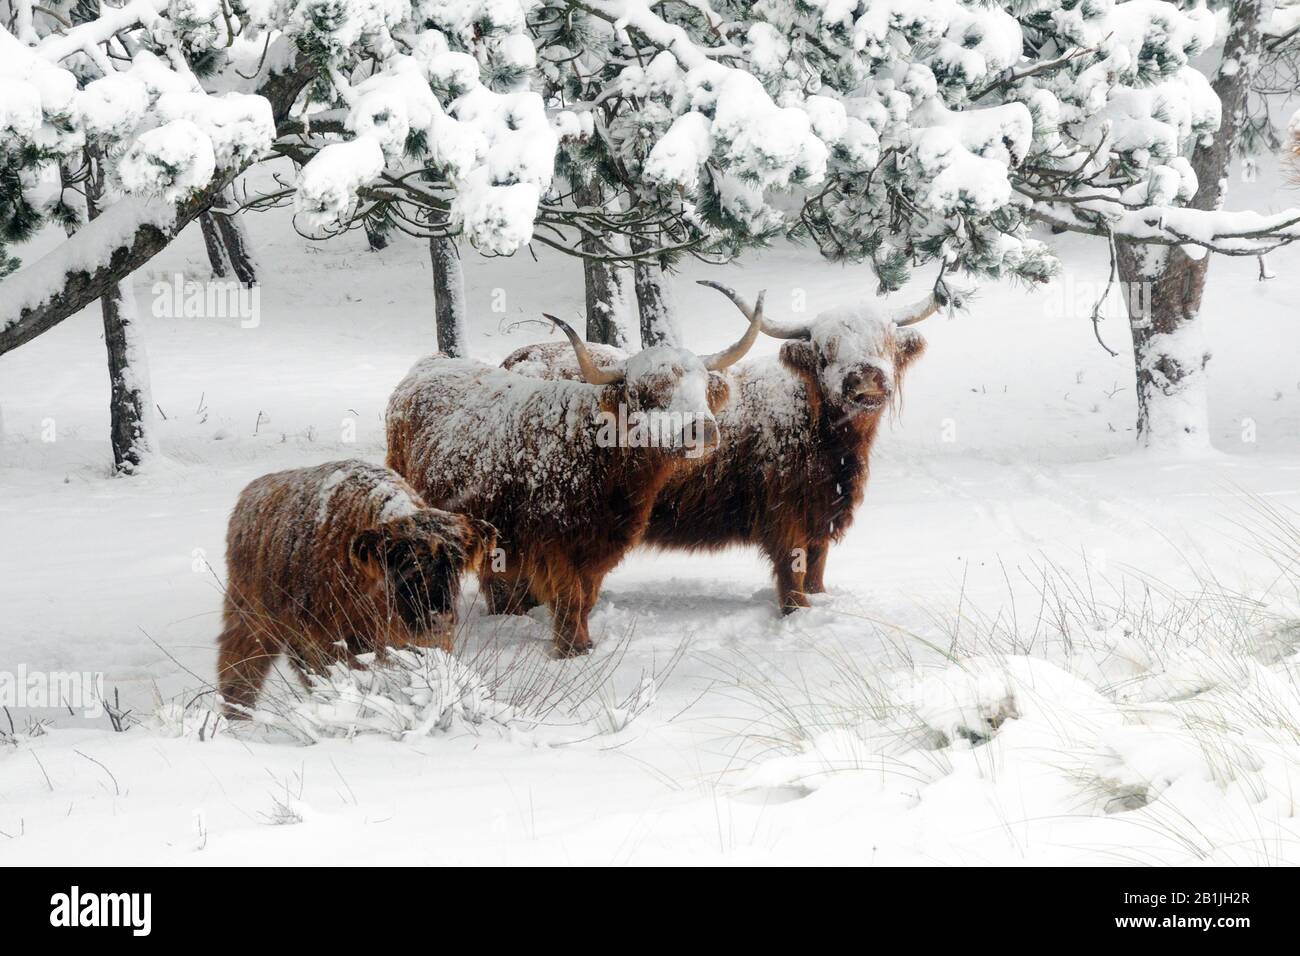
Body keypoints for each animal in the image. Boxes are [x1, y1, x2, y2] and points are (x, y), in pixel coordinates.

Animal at [215, 460, 493, 712]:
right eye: (407, 563)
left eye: (455, 563)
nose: (439, 617)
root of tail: (250, 494)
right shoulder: (333, 640)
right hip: (251, 614)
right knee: (240, 665)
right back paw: (238, 714)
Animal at [379, 310, 759, 655]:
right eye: (648, 394)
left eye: (702, 388)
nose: (703, 430)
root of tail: (430, 365)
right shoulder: (555, 545)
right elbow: (570, 597)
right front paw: (570, 649)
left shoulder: (597, 548)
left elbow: (586, 597)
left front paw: (585, 642)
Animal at [501, 282, 941, 613]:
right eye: (824, 350)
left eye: (886, 342)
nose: (865, 379)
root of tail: (517, 358)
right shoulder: (787, 520)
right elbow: (793, 578)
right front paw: (796, 613)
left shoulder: (820, 519)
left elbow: (816, 574)